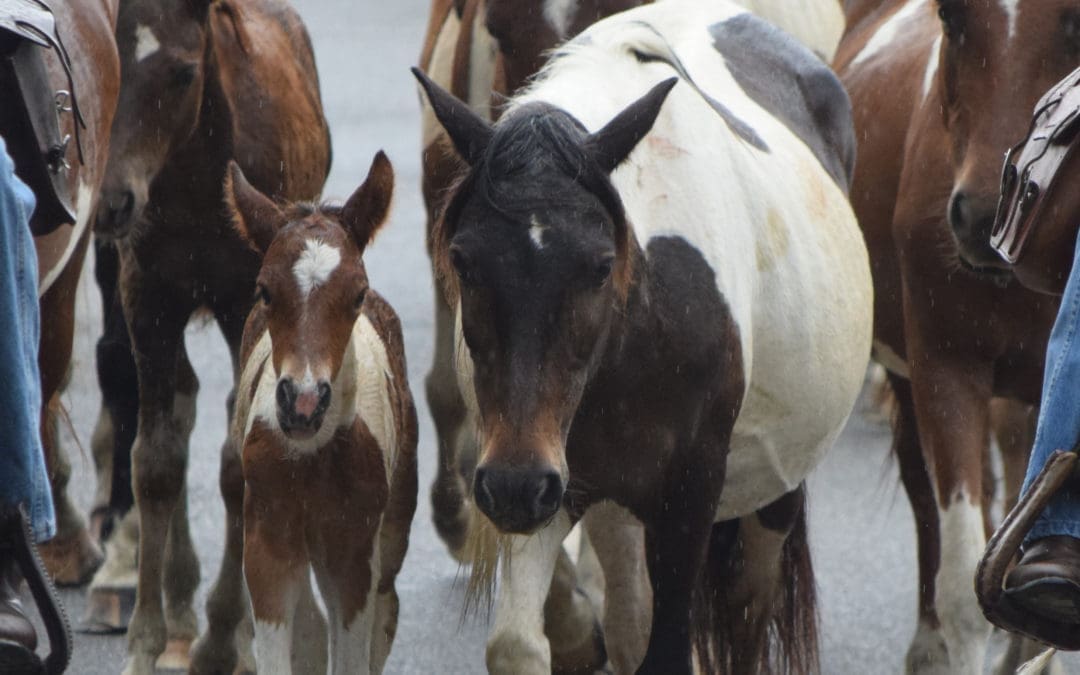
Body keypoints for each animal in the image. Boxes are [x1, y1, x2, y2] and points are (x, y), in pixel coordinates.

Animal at [80, 0, 331, 671]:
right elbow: (154, 459)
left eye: (183, 73)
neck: (195, 185)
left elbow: (238, 460)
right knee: (183, 405)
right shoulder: (146, 295)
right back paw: (179, 611)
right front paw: (145, 639)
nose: (112, 202)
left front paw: (225, 638)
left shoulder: (247, 298)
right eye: (111, 68)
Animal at [223, 154, 417, 674]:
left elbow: (354, 648)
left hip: (389, 535)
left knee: (386, 610)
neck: (312, 458)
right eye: (265, 291)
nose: (303, 402)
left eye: (357, 294)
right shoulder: (266, 540)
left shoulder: (353, 554)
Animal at [417, 0, 873, 670]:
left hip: (773, 496)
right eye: (464, 260)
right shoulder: (542, 478)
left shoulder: (685, 495)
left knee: (746, 607)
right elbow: (519, 645)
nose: (514, 487)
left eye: (600, 265)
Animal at [833, 1, 1080, 672]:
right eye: (952, 15)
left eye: (1074, 20)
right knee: (926, 492)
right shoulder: (946, 368)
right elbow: (962, 588)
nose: (987, 214)